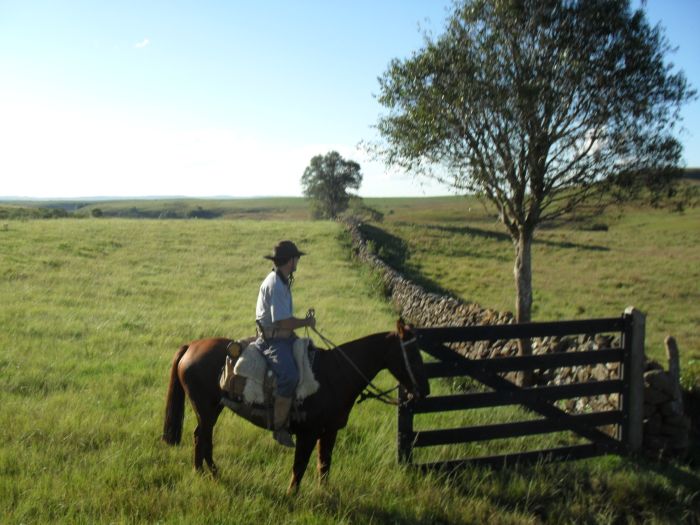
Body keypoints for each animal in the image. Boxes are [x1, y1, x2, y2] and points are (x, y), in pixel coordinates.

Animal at [162, 318, 430, 494]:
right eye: (412, 354)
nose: (424, 391)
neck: (335, 375)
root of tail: (191, 347)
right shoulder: (307, 433)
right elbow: (300, 466)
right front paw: (292, 494)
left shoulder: (330, 431)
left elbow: (324, 464)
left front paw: (325, 493)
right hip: (206, 409)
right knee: (203, 438)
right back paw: (209, 473)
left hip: (211, 409)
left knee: (201, 437)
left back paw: (205, 472)